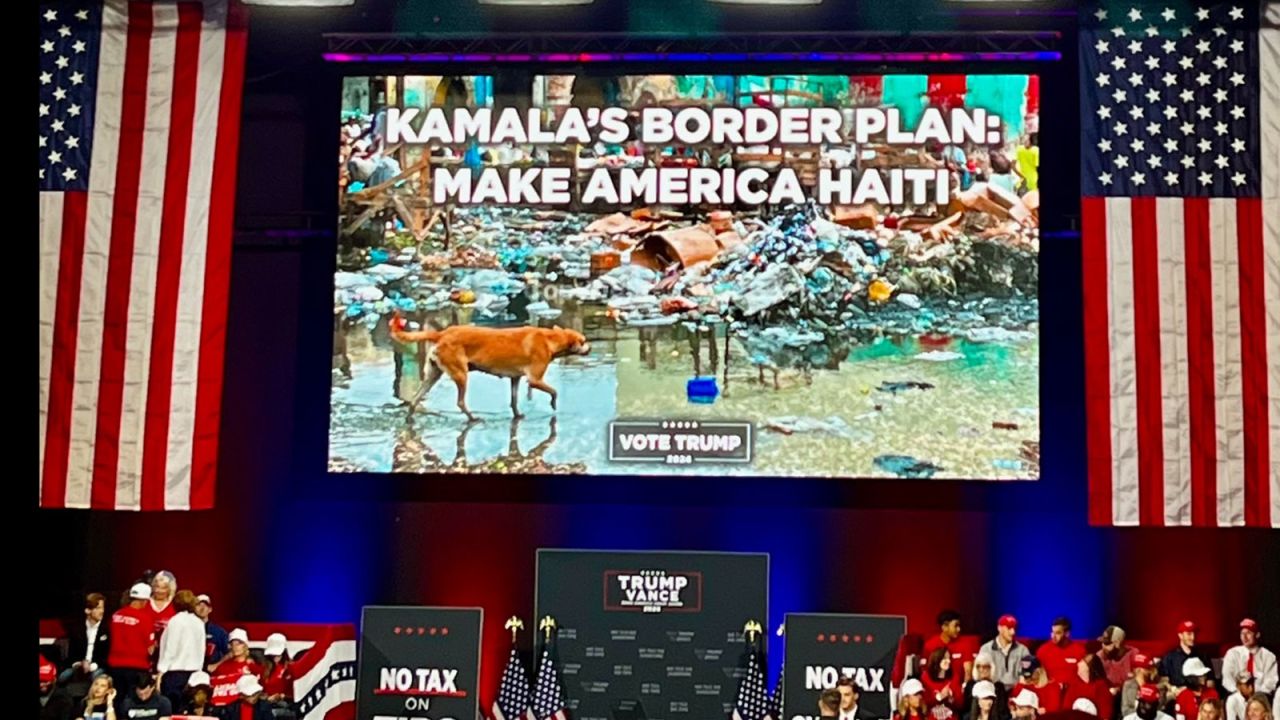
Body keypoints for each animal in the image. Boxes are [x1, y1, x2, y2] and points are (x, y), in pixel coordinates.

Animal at [386, 313, 591, 420]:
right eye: (583, 341)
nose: (590, 348)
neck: (551, 339)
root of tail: (442, 334)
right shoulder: (535, 380)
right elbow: (554, 391)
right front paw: (553, 404)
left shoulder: (515, 378)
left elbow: (514, 401)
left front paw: (517, 415)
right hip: (461, 374)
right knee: (460, 402)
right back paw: (473, 418)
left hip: (433, 374)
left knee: (414, 399)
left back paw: (409, 420)